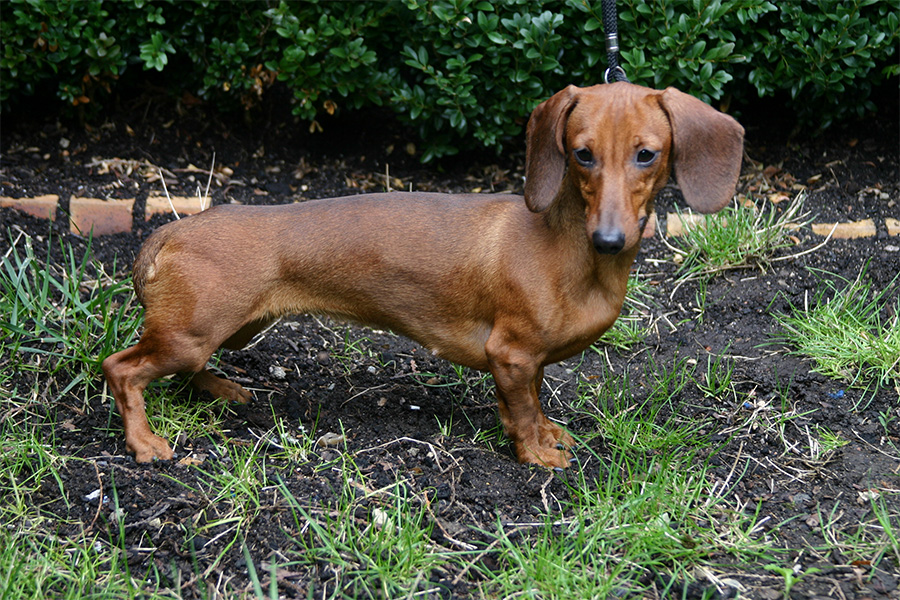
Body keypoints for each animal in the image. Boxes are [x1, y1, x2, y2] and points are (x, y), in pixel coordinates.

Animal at [102, 83, 740, 468]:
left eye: (646, 154)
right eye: (582, 154)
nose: (609, 238)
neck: (567, 248)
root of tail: (169, 233)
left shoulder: (522, 363)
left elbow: (529, 401)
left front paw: (542, 432)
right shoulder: (512, 353)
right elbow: (524, 410)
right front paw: (537, 454)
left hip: (225, 329)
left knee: (186, 369)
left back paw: (221, 390)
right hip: (191, 333)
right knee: (122, 369)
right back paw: (144, 442)